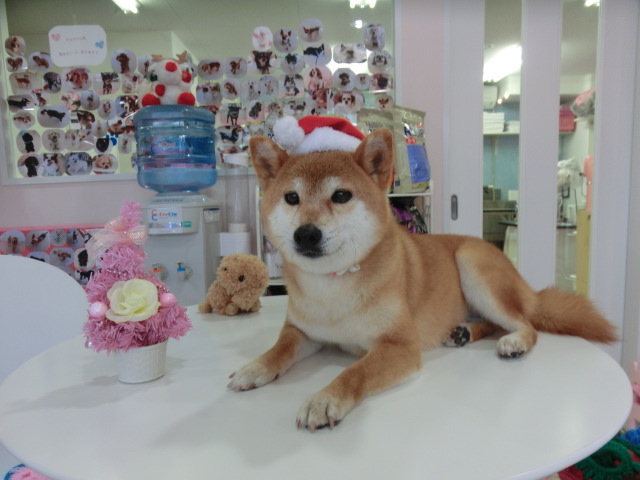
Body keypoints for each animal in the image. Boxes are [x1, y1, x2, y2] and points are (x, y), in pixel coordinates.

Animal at [227, 125, 618, 432]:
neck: (332, 288)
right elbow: (279, 349)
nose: (306, 234)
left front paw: (324, 398)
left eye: (341, 195)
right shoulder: (303, 332)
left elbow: (354, 372)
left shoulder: (398, 346)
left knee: (526, 324)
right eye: (291, 197)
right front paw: (255, 367)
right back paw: (464, 332)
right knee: (494, 322)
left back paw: (514, 342)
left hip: (472, 265)